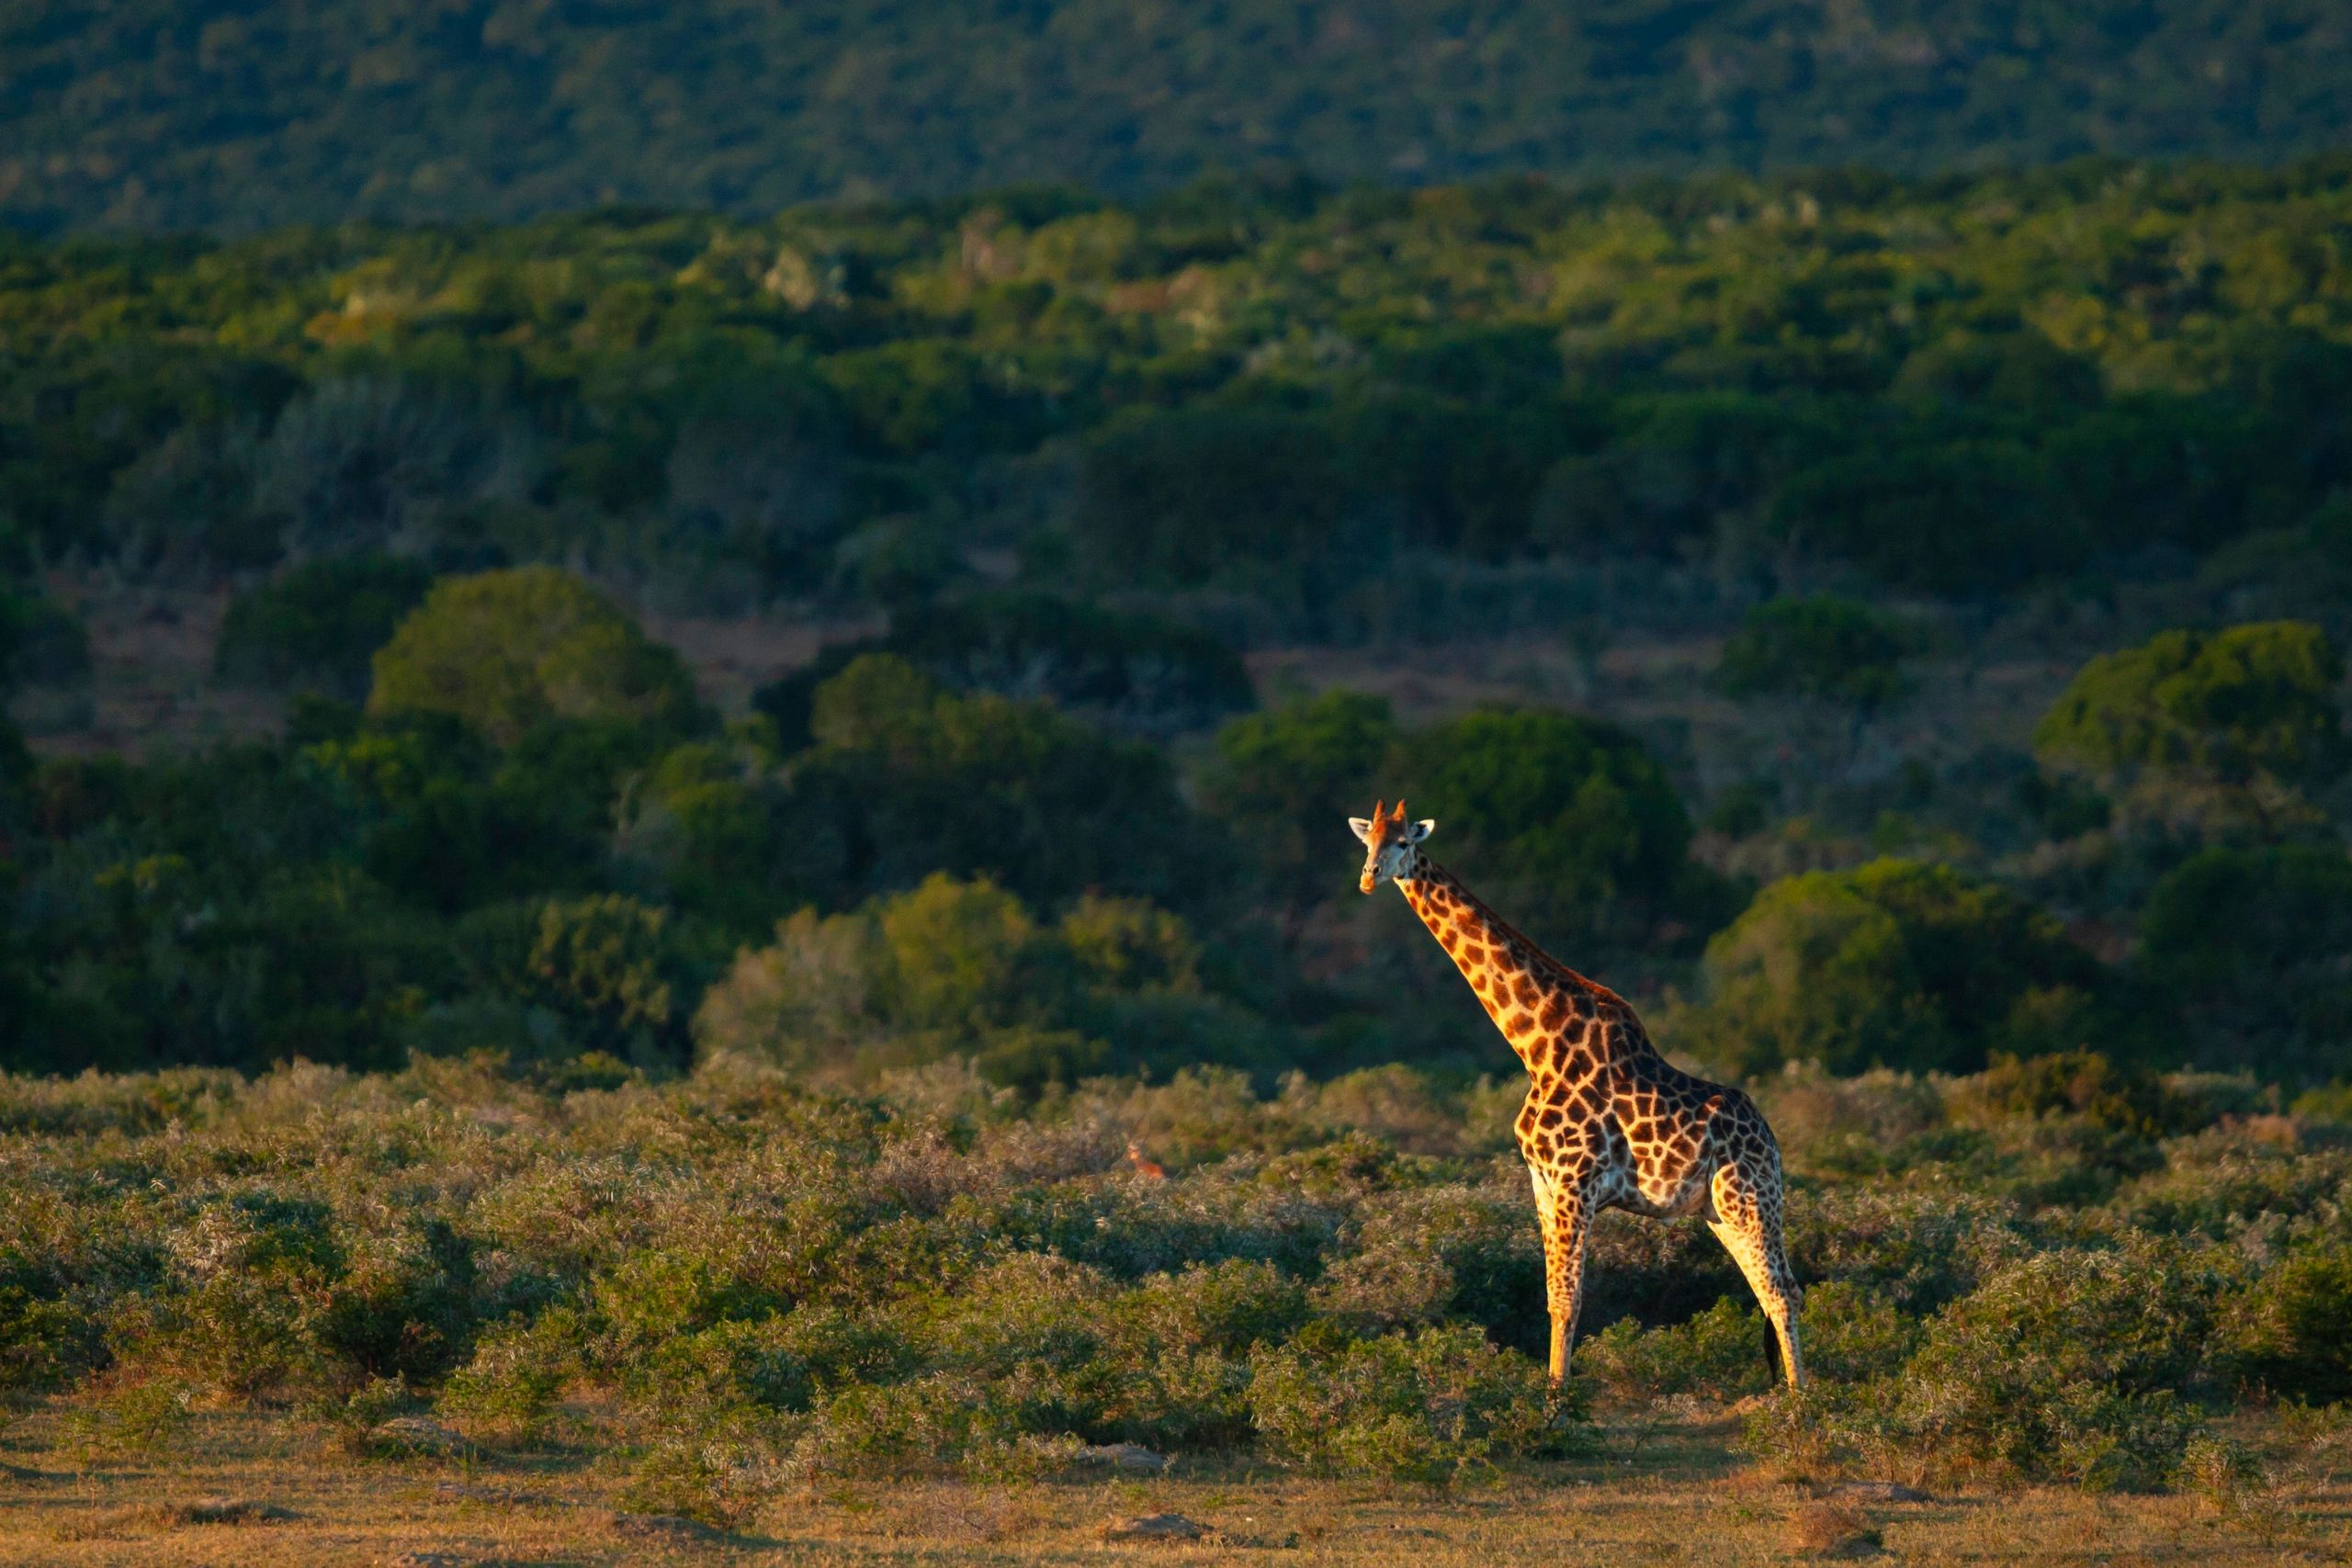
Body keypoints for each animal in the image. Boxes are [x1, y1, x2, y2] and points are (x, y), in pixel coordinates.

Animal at [1349, 799, 1803, 1389]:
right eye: (1368, 841)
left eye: (1403, 842)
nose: (1368, 877)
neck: (1537, 1045)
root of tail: (1771, 1142)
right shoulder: (1543, 1185)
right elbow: (1552, 1298)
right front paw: (1550, 1393)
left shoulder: (1574, 1183)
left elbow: (1569, 1301)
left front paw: (1557, 1401)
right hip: (1720, 1211)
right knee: (1772, 1290)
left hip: (1748, 1198)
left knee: (1782, 1291)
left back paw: (1802, 1403)